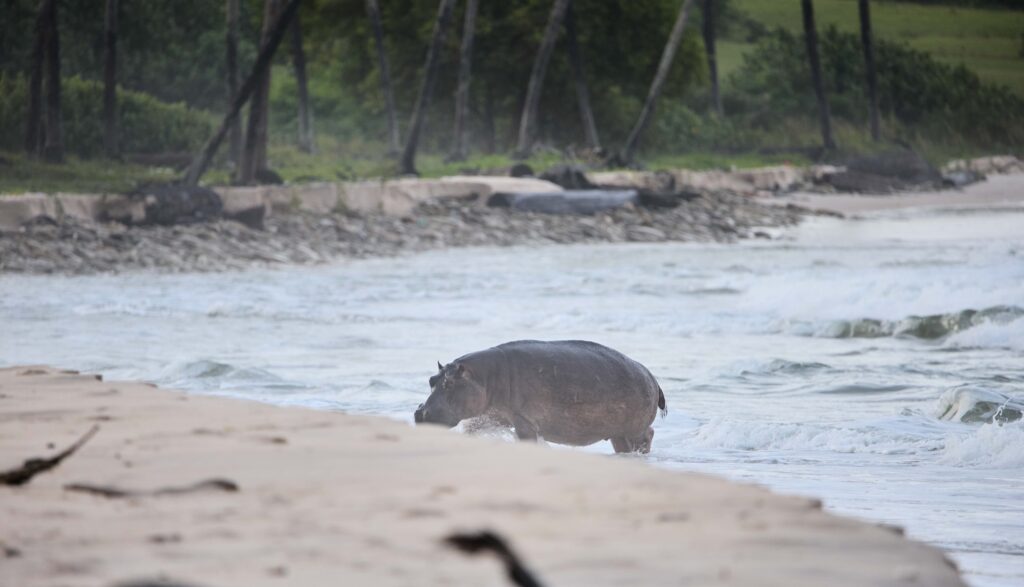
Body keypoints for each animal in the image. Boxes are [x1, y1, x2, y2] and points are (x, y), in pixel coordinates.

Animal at [414, 340, 666, 453]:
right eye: (431, 380)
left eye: (449, 383)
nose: (419, 412)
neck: (484, 377)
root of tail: (653, 378)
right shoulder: (491, 415)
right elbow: (472, 429)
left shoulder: (523, 419)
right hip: (617, 433)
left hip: (634, 428)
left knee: (648, 434)